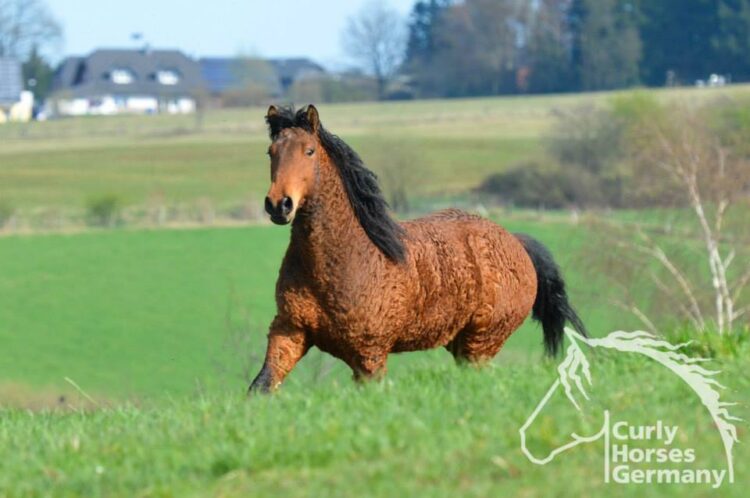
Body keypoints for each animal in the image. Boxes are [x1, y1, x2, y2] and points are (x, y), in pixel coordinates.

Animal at [248, 105, 588, 392]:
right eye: (270, 152)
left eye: (309, 151)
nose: (279, 204)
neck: (344, 260)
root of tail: (516, 242)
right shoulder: (289, 332)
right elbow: (261, 386)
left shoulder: (369, 355)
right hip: (462, 345)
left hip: (481, 343)